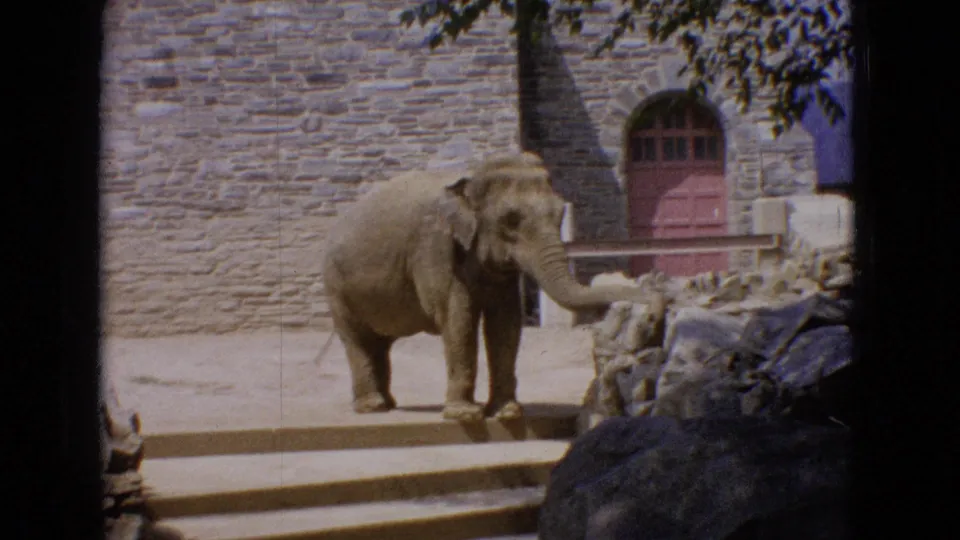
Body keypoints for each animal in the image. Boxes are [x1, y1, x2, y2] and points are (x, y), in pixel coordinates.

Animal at [320, 151, 665, 422]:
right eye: (511, 220)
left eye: (560, 213)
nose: (654, 308)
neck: (472, 176)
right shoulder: (435, 249)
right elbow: (458, 320)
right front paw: (465, 415)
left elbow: (506, 323)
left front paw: (507, 412)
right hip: (335, 286)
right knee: (357, 339)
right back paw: (373, 407)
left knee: (379, 343)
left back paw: (388, 405)